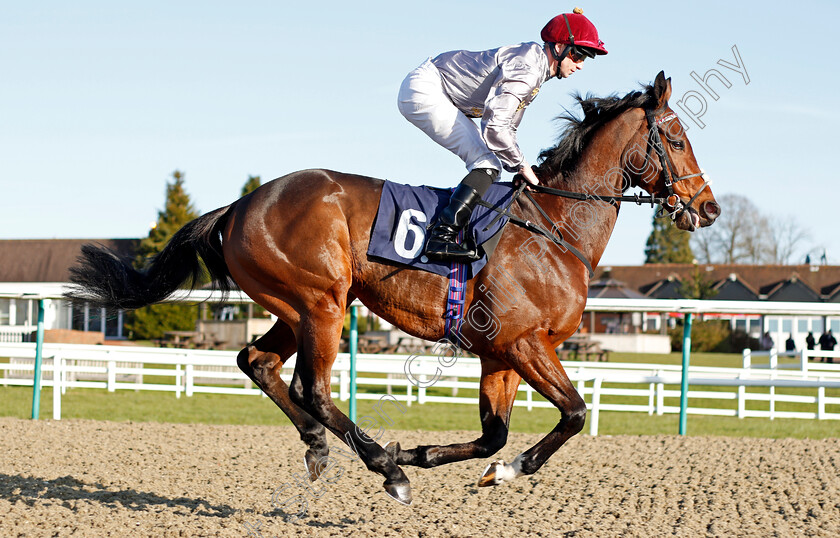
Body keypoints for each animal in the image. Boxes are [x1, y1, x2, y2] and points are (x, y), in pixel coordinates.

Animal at [67, 70, 720, 502]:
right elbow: (576, 414)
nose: (708, 208)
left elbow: (494, 435)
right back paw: (386, 469)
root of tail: (241, 204)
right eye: (677, 137)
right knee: (311, 386)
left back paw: (323, 447)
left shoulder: (500, 355)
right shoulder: (524, 343)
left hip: (298, 304)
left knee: (257, 362)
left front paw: (437, 456)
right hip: (323, 302)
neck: (555, 229)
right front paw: (472, 467)